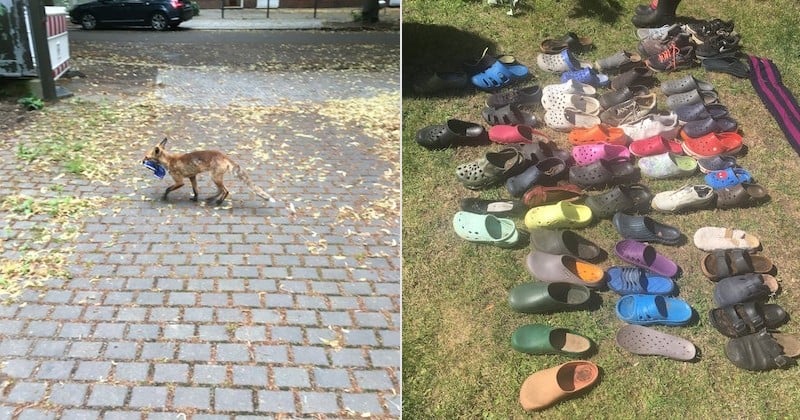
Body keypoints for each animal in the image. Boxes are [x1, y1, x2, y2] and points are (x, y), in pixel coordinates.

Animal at [144, 138, 278, 205]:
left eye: (146, 157)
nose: (141, 161)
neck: (170, 160)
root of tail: (223, 155)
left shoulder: (179, 182)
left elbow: (168, 189)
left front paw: (164, 197)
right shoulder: (192, 176)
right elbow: (196, 190)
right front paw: (195, 199)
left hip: (214, 177)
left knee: (225, 190)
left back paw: (218, 202)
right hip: (215, 178)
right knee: (221, 190)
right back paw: (213, 200)